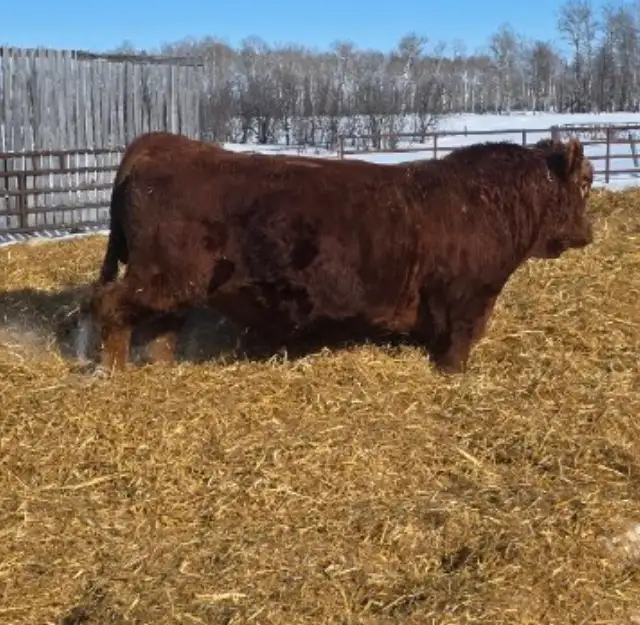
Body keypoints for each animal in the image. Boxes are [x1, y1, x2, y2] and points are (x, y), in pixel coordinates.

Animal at [85, 132, 594, 376]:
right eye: (587, 182)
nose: (589, 233)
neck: (487, 202)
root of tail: (162, 143)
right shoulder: (469, 298)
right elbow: (459, 346)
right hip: (165, 277)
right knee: (111, 305)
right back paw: (112, 371)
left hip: (176, 284)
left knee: (160, 327)